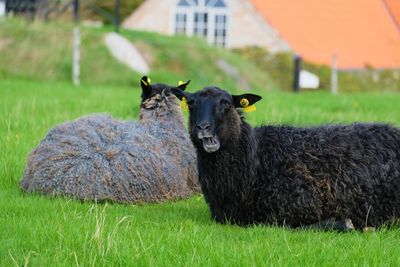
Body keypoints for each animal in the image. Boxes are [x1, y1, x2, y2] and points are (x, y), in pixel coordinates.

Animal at [173, 86, 400, 230]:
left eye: (226, 103)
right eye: (191, 104)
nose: (203, 127)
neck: (255, 159)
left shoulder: (290, 211)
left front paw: (343, 224)